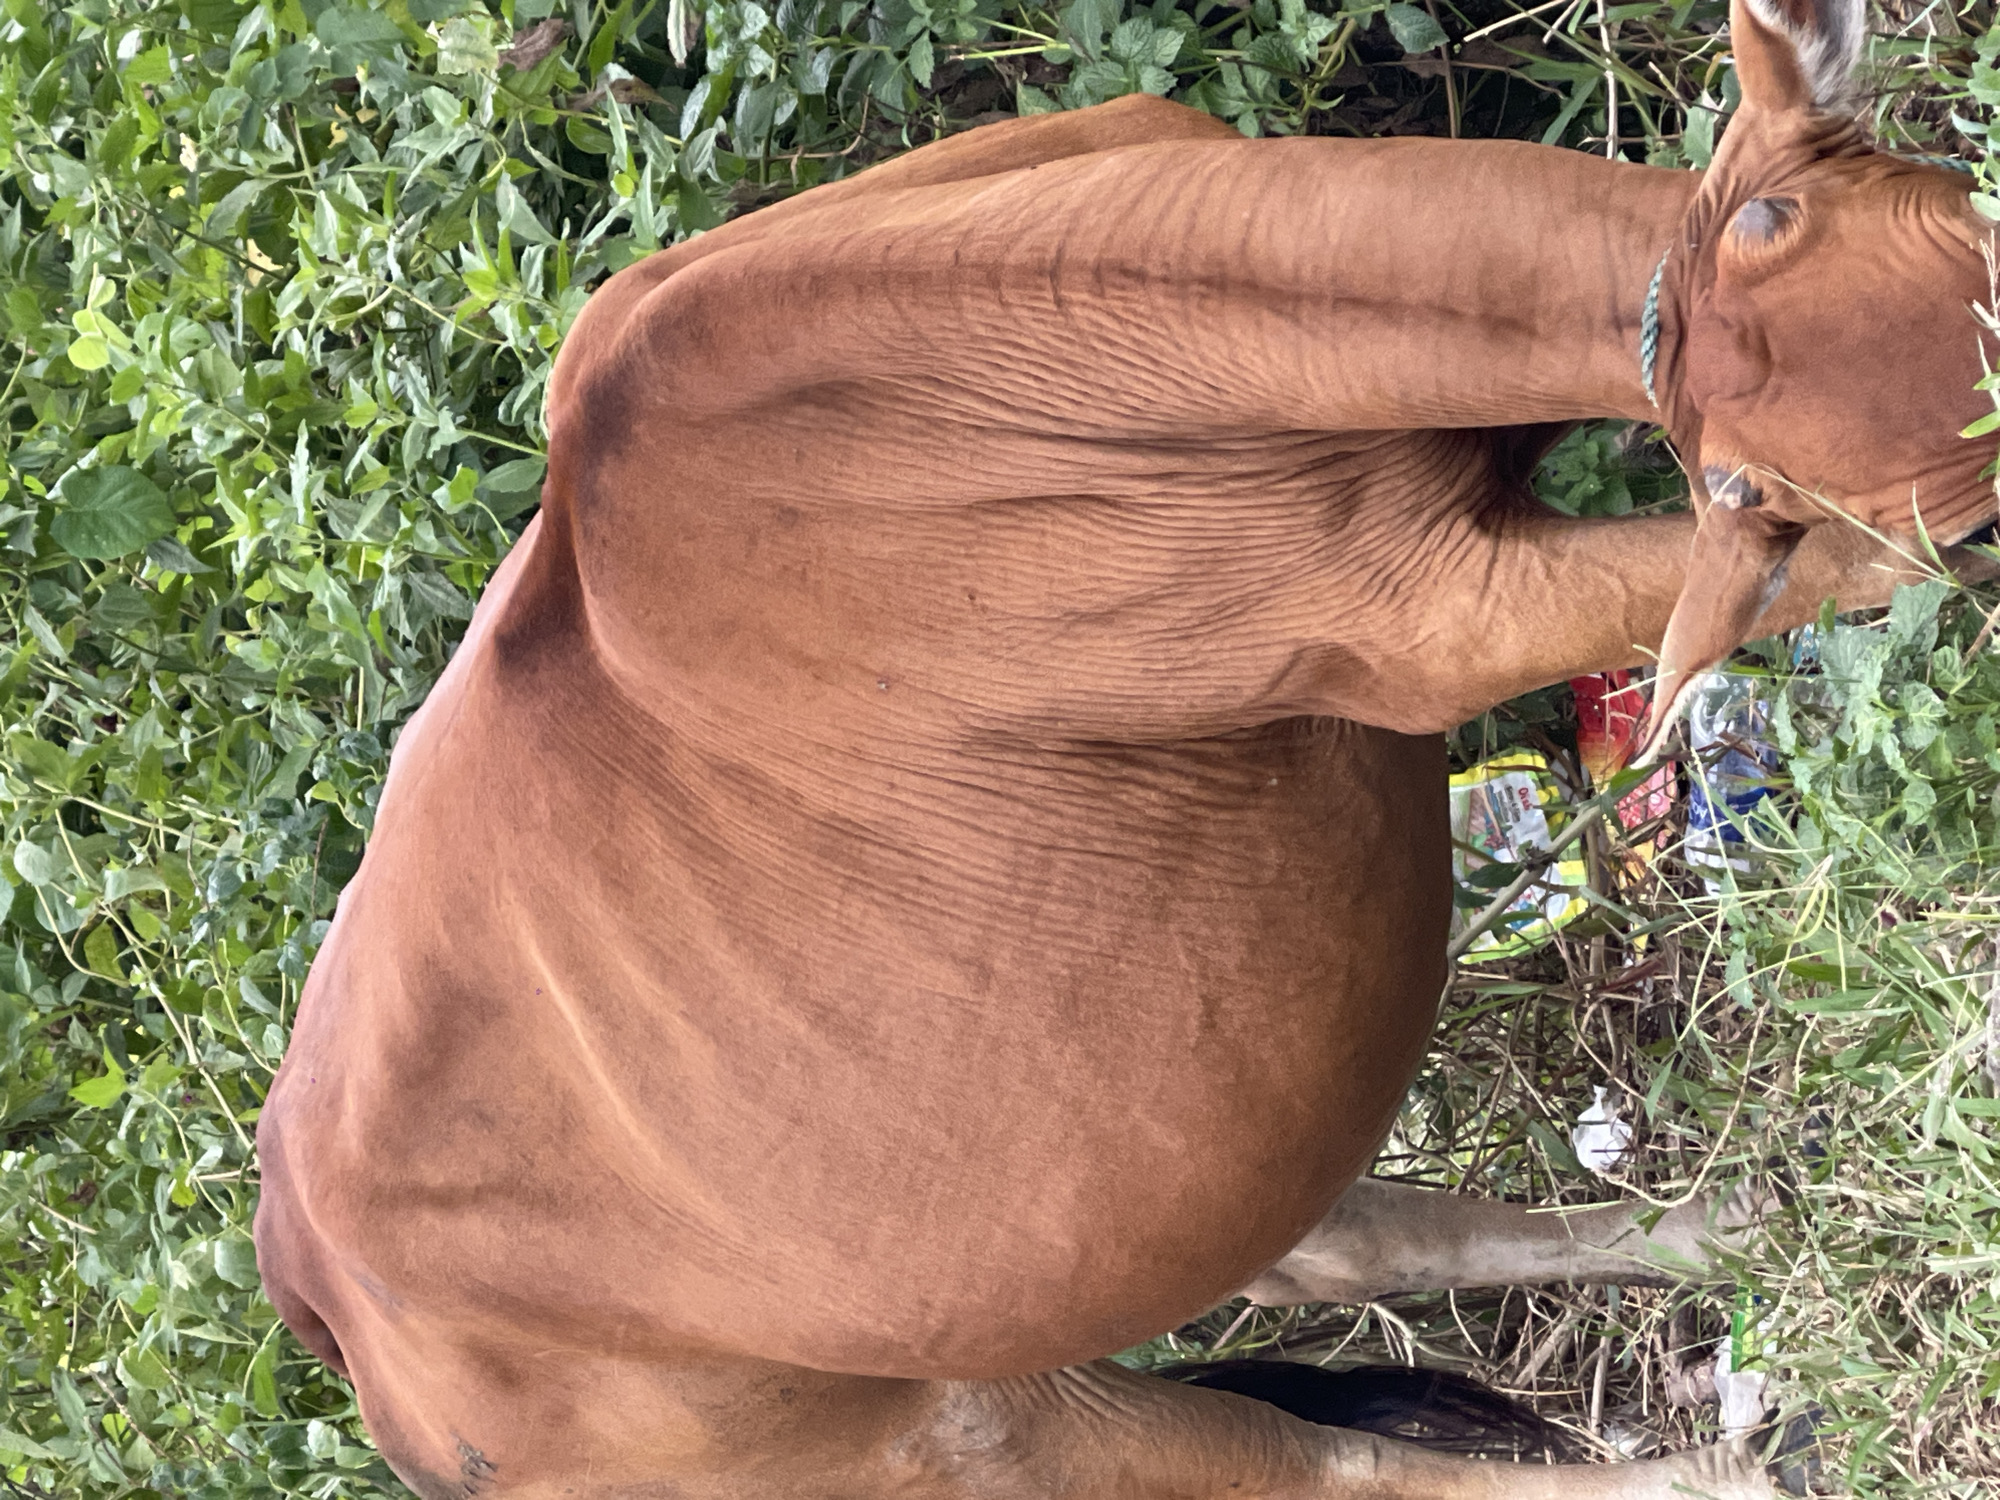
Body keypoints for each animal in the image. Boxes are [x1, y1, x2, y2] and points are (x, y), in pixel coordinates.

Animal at [252, 0, 1996, 1494]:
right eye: (1972, 522)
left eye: (1972, 215)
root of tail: (329, 1318)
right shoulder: (1448, 619)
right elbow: (1833, 577)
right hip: (959, 1440)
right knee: (1348, 1466)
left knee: (1345, 1243)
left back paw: (1720, 1238)